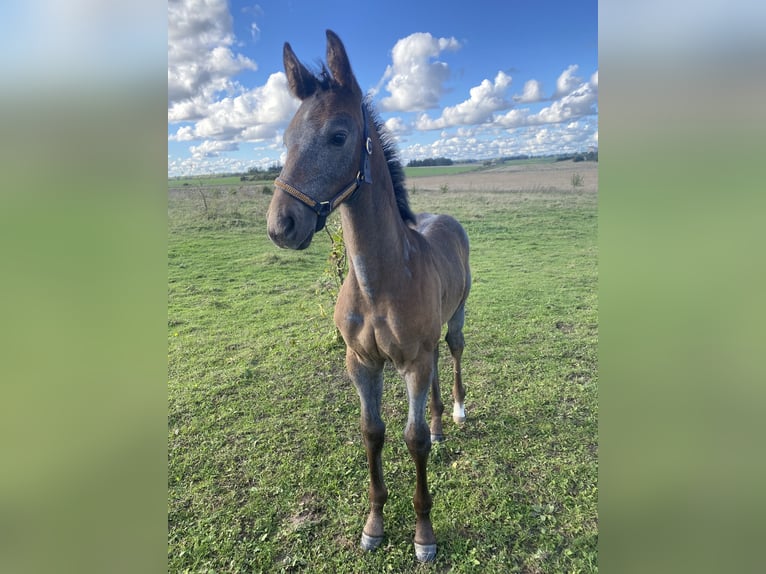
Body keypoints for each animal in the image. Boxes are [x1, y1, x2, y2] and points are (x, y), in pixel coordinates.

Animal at [270, 29, 474, 564]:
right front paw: (374, 524)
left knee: (454, 351)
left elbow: (413, 439)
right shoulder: (361, 362)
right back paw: (442, 422)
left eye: (338, 136)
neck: (377, 282)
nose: (281, 226)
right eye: (286, 139)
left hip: (457, 317)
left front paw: (424, 534)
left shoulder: (412, 362)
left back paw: (457, 413)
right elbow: (373, 433)